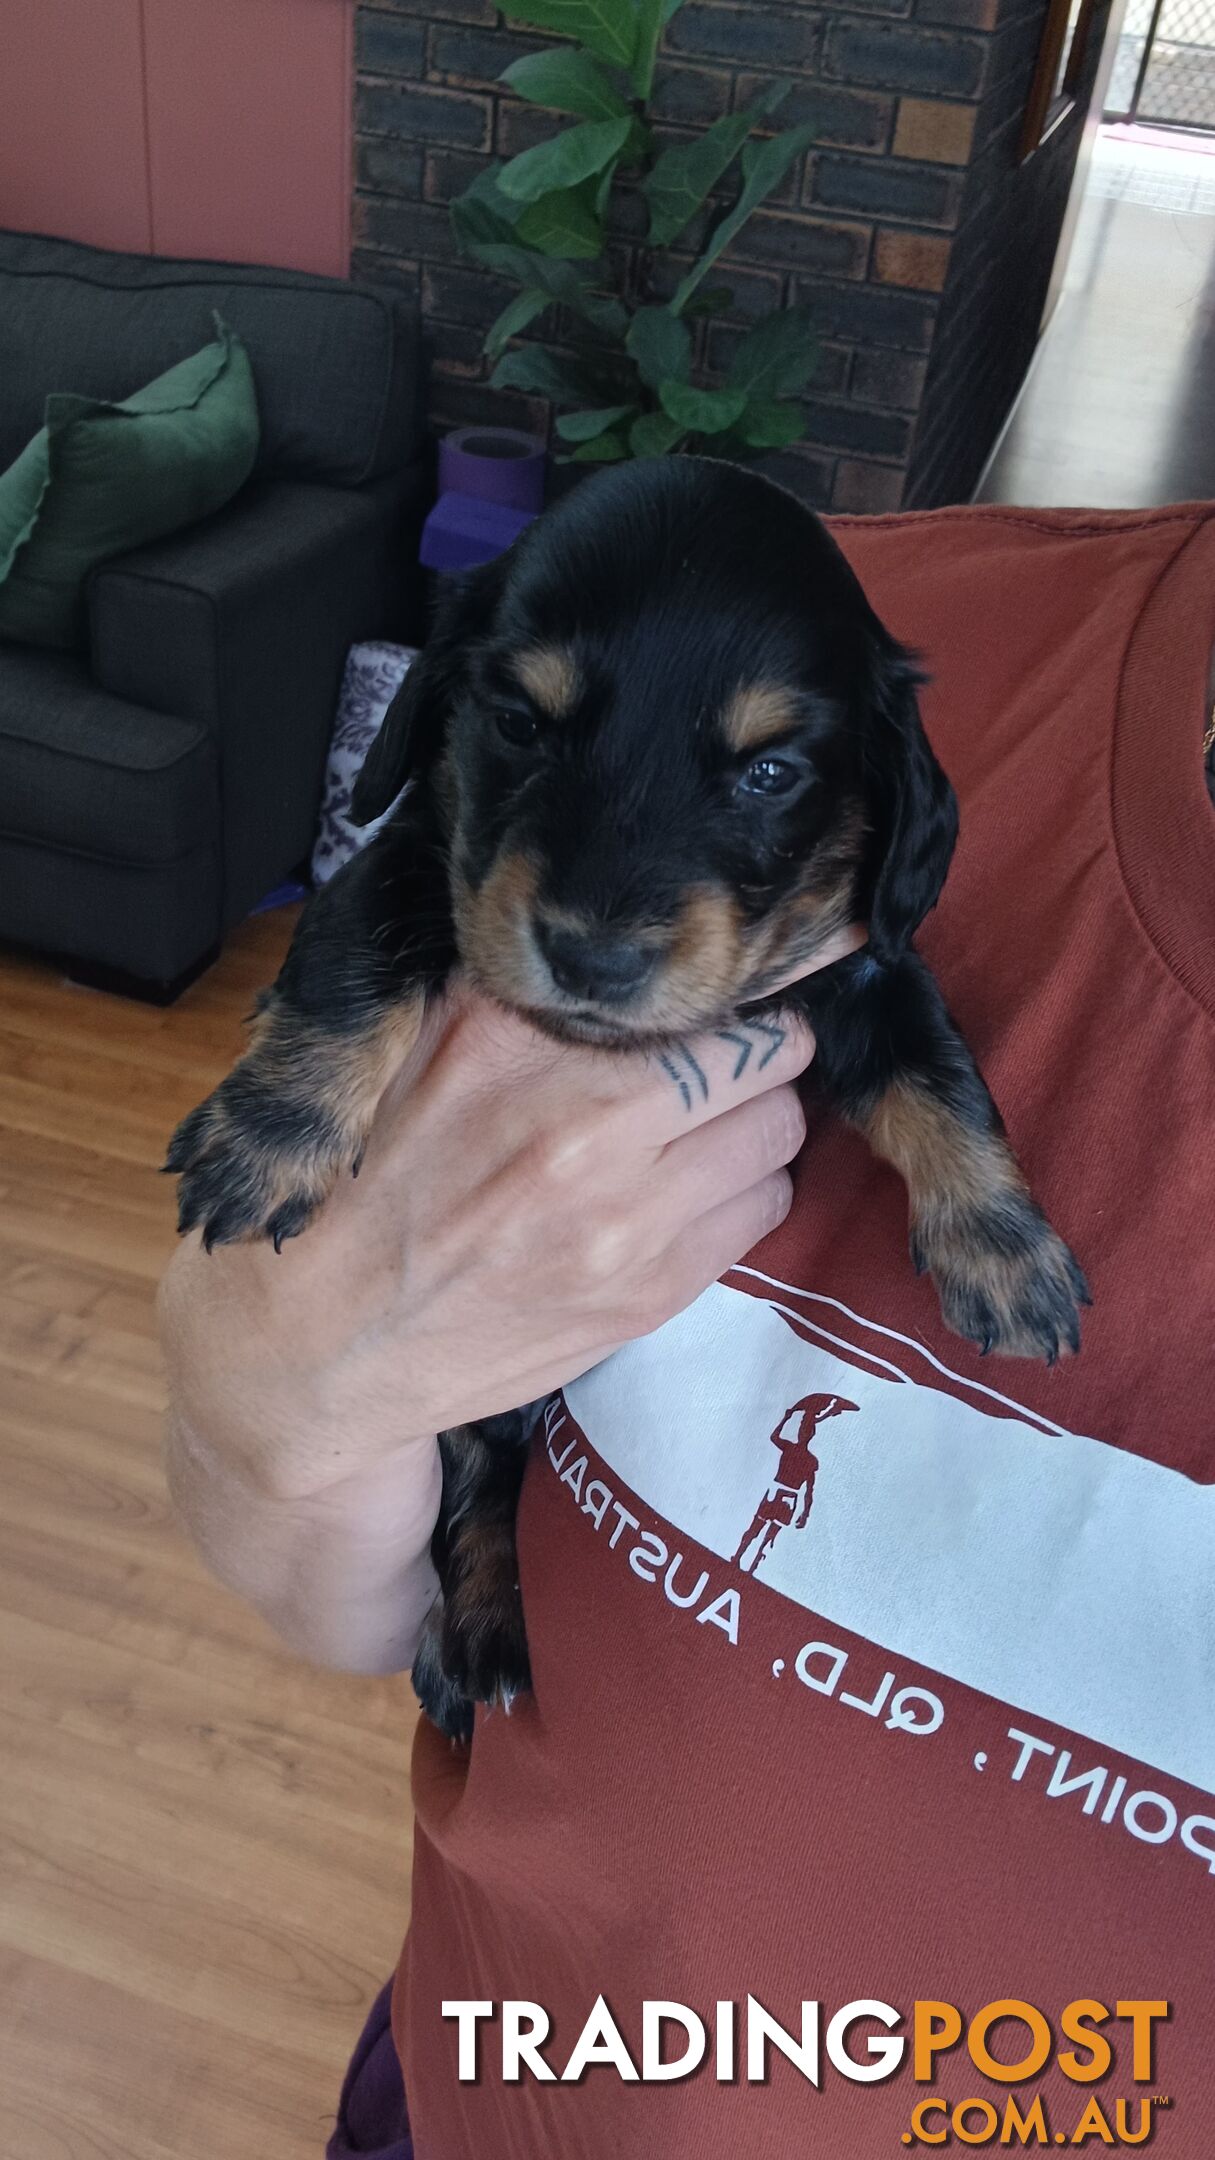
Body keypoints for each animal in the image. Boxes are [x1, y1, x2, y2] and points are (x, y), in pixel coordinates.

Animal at [165, 455, 1080, 1736]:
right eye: (517, 724)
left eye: (769, 772)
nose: (593, 959)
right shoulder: (407, 860)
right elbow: (354, 967)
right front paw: (267, 1137)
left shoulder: (868, 966)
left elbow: (939, 1077)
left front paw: (1004, 1251)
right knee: (473, 1477)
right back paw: (474, 1637)